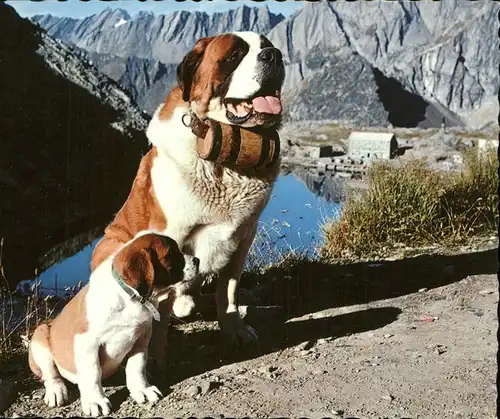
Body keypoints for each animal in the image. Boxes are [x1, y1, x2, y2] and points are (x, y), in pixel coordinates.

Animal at [90, 31, 286, 366]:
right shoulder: (171, 238)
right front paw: (156, 355)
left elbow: (228, 290)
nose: (274, 55)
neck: (223, 165)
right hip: (112, 245)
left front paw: (235, 330)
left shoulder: (243, 237)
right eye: (233, 56)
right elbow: (161, 306)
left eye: (266, 46)